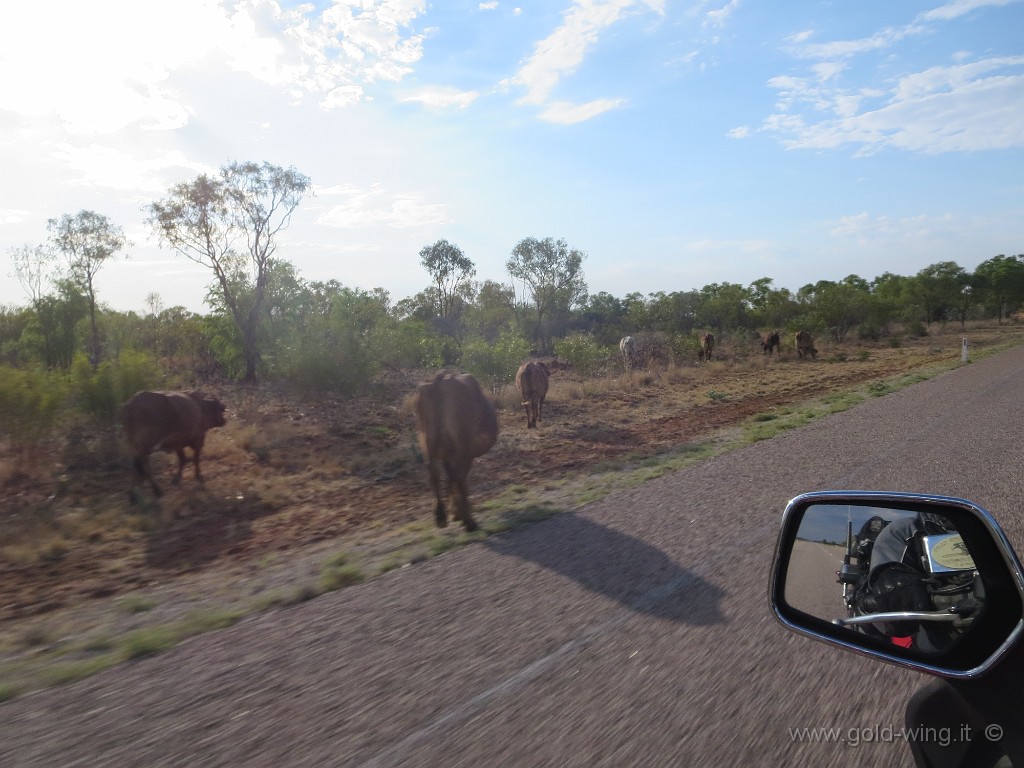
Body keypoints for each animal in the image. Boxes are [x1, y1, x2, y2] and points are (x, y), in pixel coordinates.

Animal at [411, 374, 499, 536]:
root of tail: (440, 380)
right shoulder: (464, 453)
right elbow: (455, 478)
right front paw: (459, 513)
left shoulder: (448, 455)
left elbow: (449, 477)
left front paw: (455, 513)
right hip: (462, 446)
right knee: (459, 477)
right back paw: (470, 522)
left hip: (427, 443)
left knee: (434, 475)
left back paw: (440, 517)